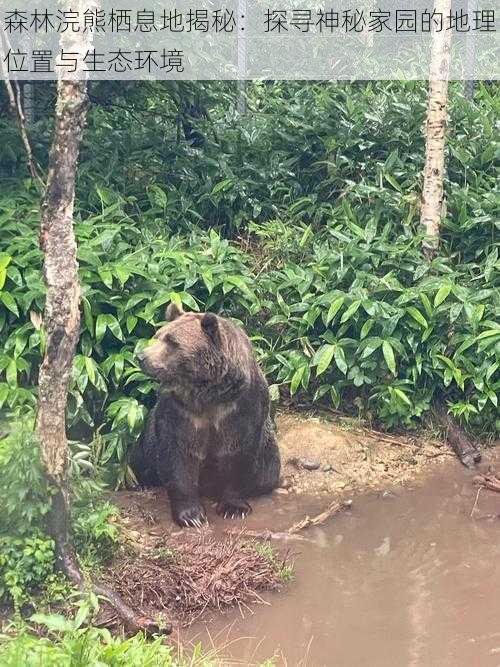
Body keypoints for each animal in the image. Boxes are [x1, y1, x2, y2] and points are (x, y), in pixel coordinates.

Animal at [130, 302, 282, 528]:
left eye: (172, 342)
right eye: (157, 336)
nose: (141, 357)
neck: (208, 394)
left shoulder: (242, 407)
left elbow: (238, 454)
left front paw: (234, 508)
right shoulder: (181, 412)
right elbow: (178, 456)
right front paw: (191, 516)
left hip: (269, 454)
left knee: (269, 472)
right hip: (147, 444)